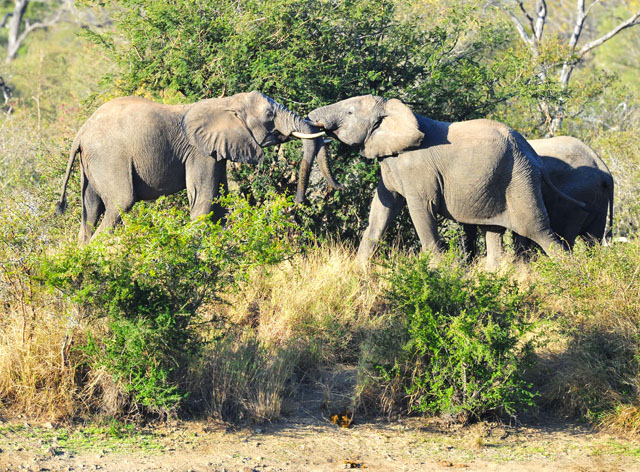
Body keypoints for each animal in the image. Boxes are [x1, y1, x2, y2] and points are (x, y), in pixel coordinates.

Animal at [57, 91, 342, 243]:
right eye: (270, 116)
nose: (298, 202)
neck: (226, 103)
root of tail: (81, 132)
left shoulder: (217, 152)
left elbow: (220, 204)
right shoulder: (200, 153)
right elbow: (204, 202)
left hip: (93, 164)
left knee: (90, 212)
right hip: (110, 158)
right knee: (120, 203)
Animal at [304, 95, 584, 266]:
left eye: (350, 111)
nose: (338, 187)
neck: (394, 111)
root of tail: (532, 153)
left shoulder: (417, 168)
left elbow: (421, 211)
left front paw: (437, 272)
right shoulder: (391, 163)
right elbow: (380, 212)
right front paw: (359, 270)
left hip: (520, 180)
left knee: (539, 230)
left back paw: (569, 276)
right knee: (493, 231)